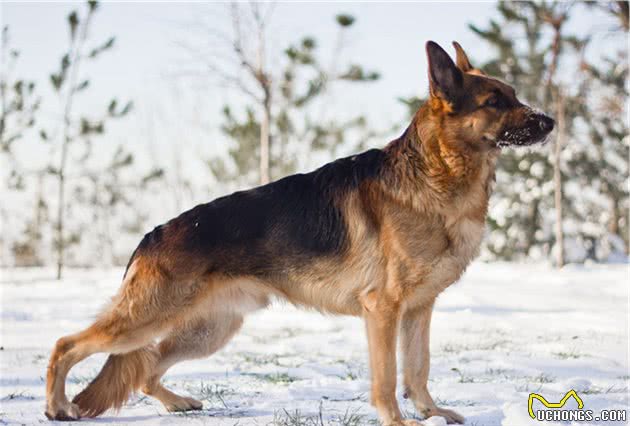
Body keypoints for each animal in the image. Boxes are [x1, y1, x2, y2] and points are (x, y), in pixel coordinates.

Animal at [47, 41, 556, 424]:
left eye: (514, 95)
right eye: (495, 102)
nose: (551, 120)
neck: (437, 173)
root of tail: (150, 236)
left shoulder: (418, 311)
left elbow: (418, 369)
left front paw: (431, 413)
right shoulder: (383, 311)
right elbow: (388, 377)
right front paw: (398, 421)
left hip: (209, 330)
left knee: (147, 367)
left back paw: (177, 403)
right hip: (147, 319)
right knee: (66, 345)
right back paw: (57, 406)